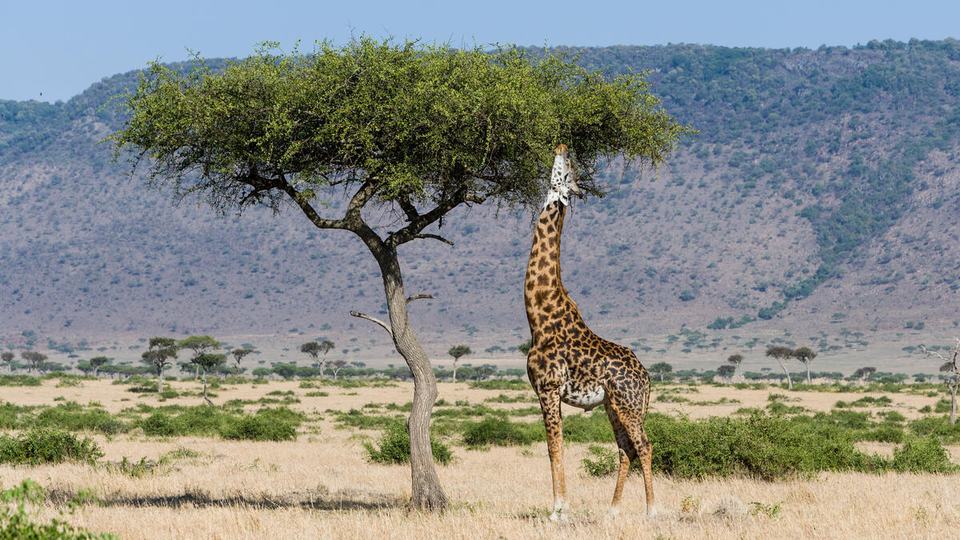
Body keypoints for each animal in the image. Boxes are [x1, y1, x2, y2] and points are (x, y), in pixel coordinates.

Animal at [525, 144, 655, 521]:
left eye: (566, 170)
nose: (561, 146)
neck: (538, 315)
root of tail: (647, 378)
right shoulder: (544, 391)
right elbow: (553, 447)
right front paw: (560, 507)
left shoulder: (549, 388)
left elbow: (555, 447)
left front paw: (558, 510)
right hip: (614, 405)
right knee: (626, 448)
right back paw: (612, 510)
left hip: (628, 404)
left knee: (644, 445)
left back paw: (652, 510)